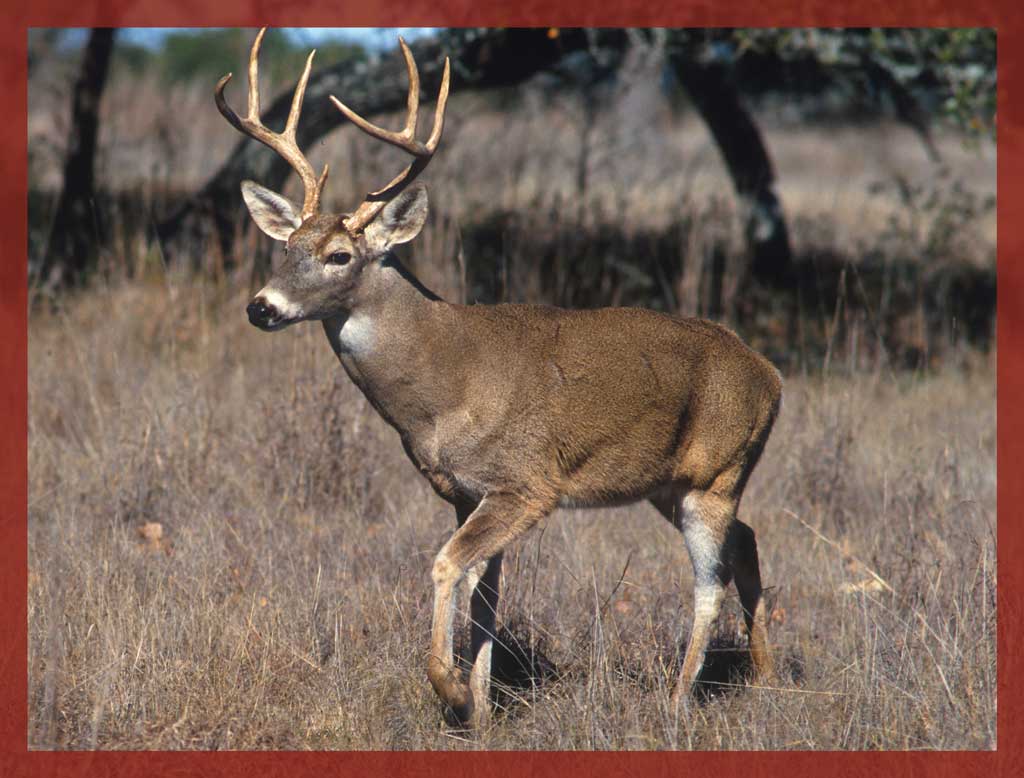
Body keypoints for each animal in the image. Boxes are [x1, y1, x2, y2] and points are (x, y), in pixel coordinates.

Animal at [217, 29, 783, 730]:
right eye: (286, 247)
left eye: (339, 255)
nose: (261, 307)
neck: (443, 385)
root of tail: (771, 375)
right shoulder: (466, 491)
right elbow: (484, 596)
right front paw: (483, 709)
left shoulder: (526, 483)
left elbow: (446, 566)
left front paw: (452, 691)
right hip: (671, 482)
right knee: (747, 543)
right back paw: (765, 678)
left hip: (716, 472)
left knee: (710, 580)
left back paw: (678, 702)